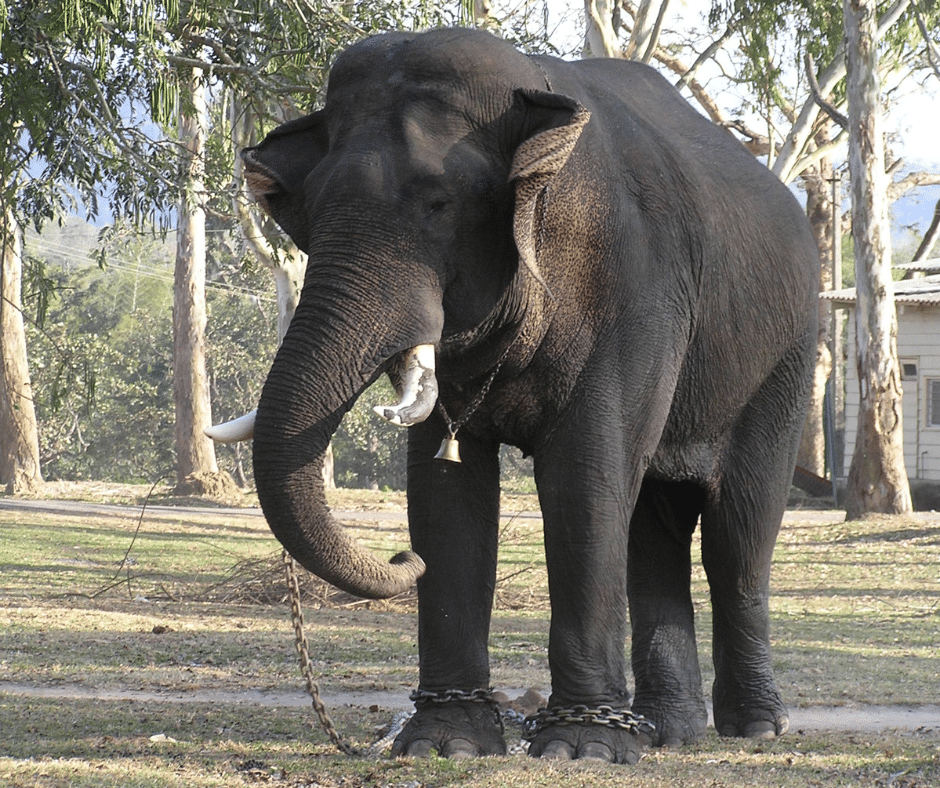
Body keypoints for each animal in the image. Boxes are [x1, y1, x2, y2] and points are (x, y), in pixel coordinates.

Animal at [226, 26, 816, 764]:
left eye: (438, 204)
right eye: (313, 214)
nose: (400, 558)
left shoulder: (634, 290)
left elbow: (584, 475)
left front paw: (579, 748)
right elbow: (445, 487)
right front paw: (445, 743)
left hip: (785, 359)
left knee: (737, 533)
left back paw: (754, 727)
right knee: (653, 532)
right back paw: (665, 731)